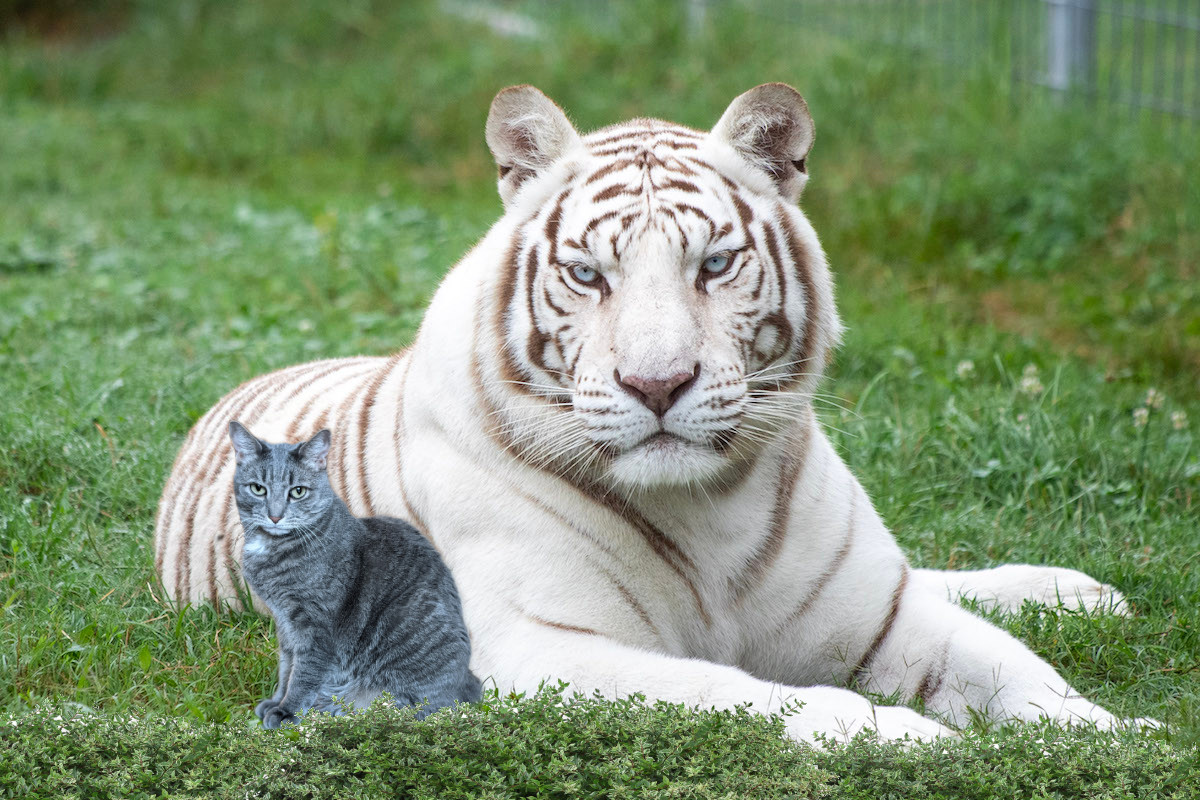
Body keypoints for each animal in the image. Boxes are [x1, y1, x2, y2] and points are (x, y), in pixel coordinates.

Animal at [155, 83, 1141, 742]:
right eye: (588, 274)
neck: (712, 507)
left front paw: (1122, 736)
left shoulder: (881, 616)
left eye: (715, 264)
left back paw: (1080, 592)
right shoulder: (540, 648)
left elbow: (1017, 669)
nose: (658, 385)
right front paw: (911, 741)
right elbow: (747, 694)